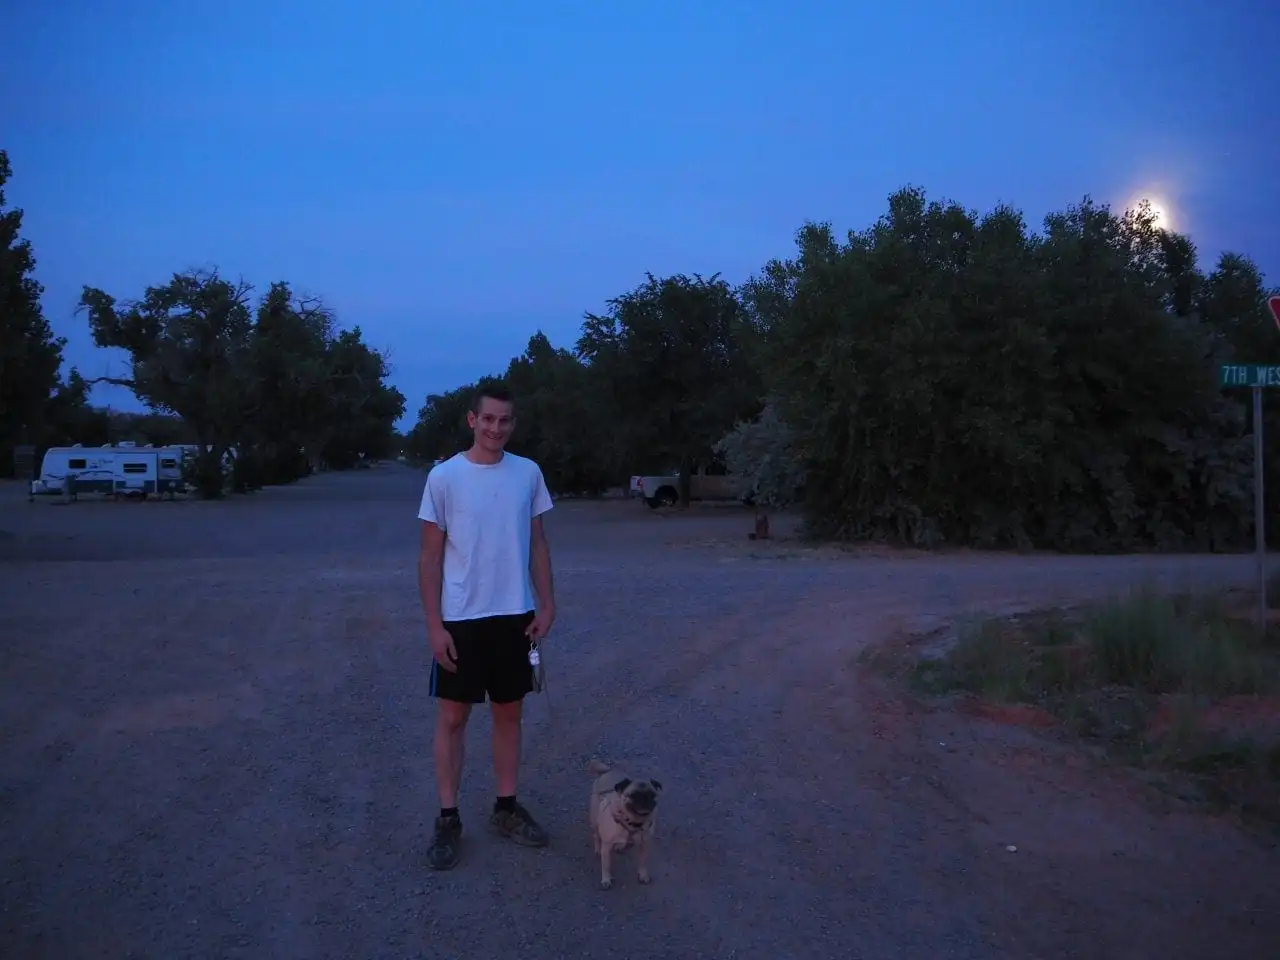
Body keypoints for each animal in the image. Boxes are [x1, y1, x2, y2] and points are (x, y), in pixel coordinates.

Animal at [586, 762, 665, 890]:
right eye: (634, 795)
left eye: (652, 795)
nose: (644, 799)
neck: (634, 822)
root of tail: (608, 771)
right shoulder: (606, 846)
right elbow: (606, 865)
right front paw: (606, 879)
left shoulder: (645, 844)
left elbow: (643, 862)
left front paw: (643, 875)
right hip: (594, 820)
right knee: (596, 835)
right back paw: (598, 849)